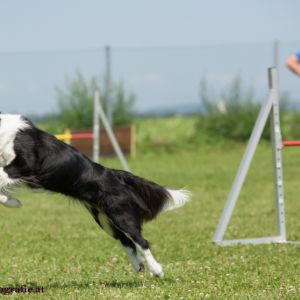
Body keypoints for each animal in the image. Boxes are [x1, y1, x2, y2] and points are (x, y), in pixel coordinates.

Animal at [0, 114, 190, 276]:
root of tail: (115, 174)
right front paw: (13, 202)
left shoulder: (24, 165)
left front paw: (13, 201)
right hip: (103, 220)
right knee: (127, 242)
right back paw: (138, 266)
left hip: (121, 214)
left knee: (141, 241)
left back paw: (156, 270)